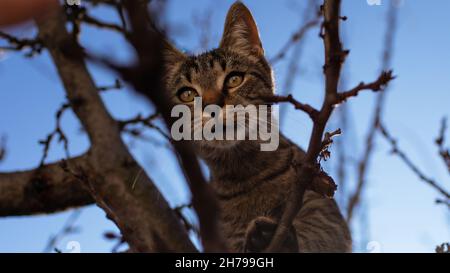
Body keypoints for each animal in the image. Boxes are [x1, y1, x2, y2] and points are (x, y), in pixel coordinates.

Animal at [162, 1, 352, 252]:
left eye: (234, 79)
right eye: (187, 94)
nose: (212, 107)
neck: (243, 170)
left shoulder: (321, 210)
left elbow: (319, 234)